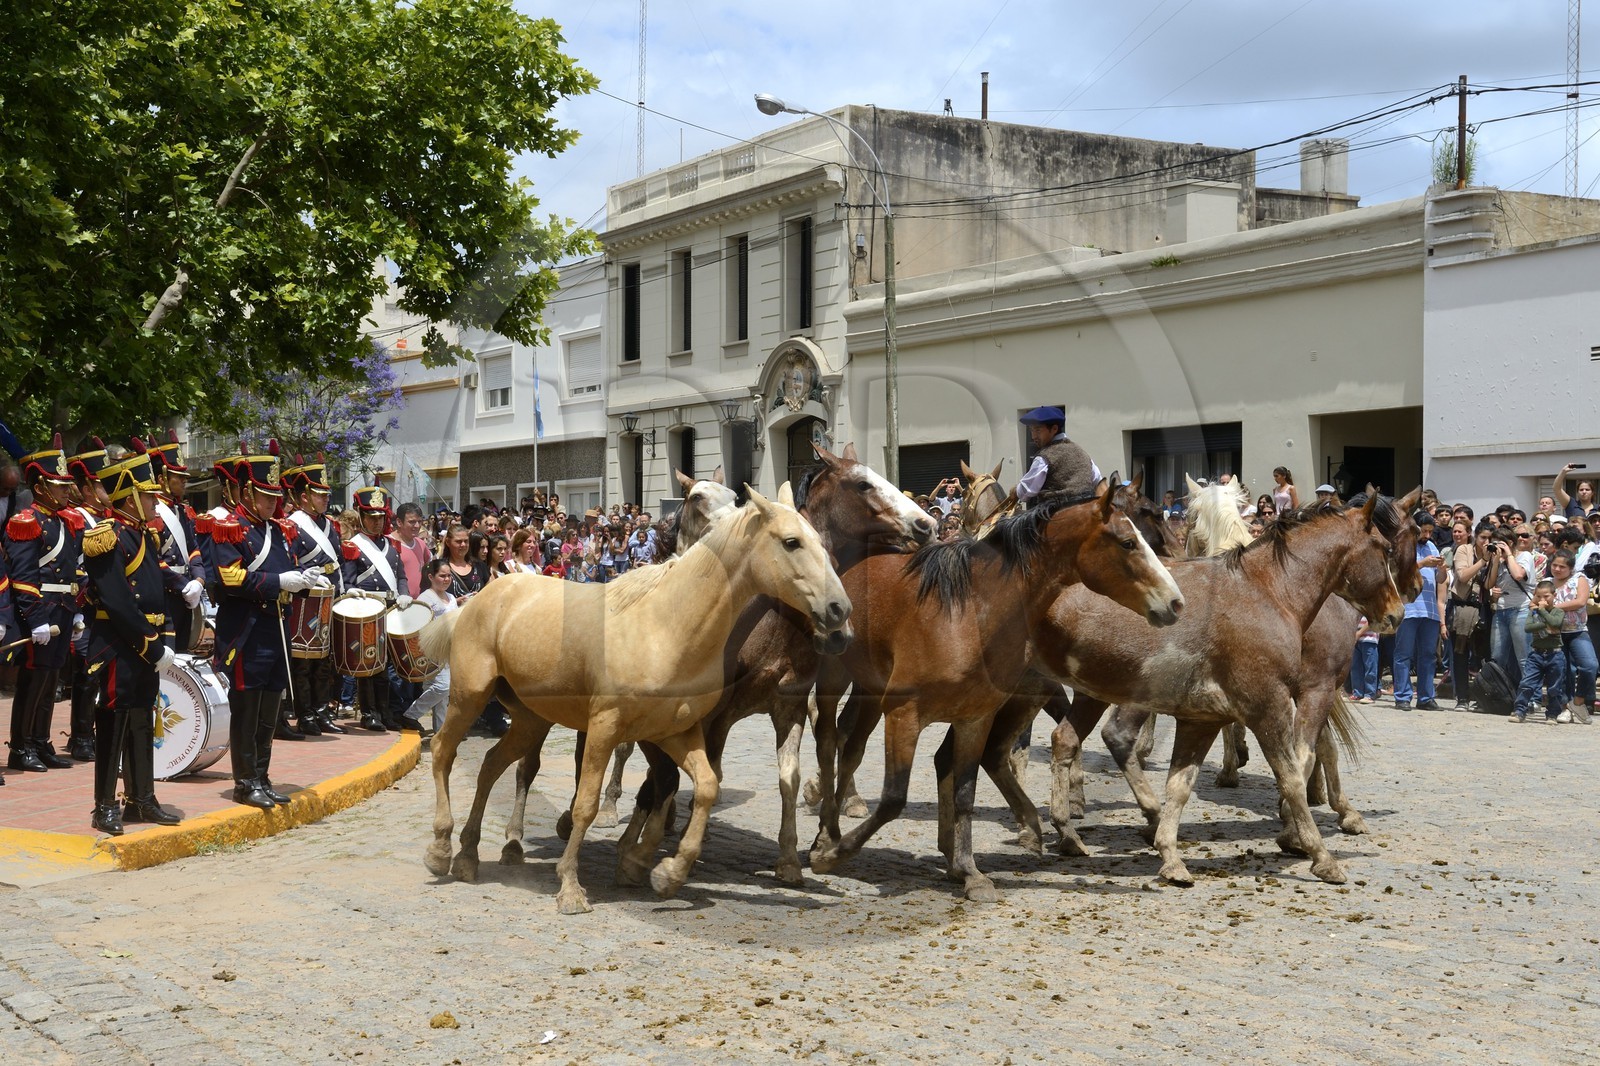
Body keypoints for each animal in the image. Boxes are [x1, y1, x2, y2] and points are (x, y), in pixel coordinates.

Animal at [419, 485, 851, 914]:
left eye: (820, 542)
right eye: (791, 542)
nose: (840, 611)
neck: (665, 627)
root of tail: (478, 600)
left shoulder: (675, 733)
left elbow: (704, 786)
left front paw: (666, 873)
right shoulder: (605, 727)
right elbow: (587, 804)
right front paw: (571, 888)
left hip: (530, 719)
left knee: (491, 765)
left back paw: (468, 856)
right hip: (470, 696)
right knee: (443, 750)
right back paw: (440, 849)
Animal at [807, 476, 1185, 902]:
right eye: (1127, 542)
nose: (1175, 602)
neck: (967, 616)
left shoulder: (975, 718)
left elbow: (964, 792)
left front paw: (971, 872)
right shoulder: (904, 716)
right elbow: (892, 799)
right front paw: (833, 856)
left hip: (873, 691)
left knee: (851, 748)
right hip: (838, 679)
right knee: (832, 743)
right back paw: (825, 835)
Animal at [1033, 496, 1405, 886]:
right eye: (1386, 548)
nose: (1397, 613)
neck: (1268, 592)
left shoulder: (1203, 719)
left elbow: (1180, 785)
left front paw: (1170, 856)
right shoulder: (1278, 704)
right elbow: (1292, 776)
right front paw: (1317, 852)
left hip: (1090, 694)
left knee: (1065, 740)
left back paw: (1069, 831)